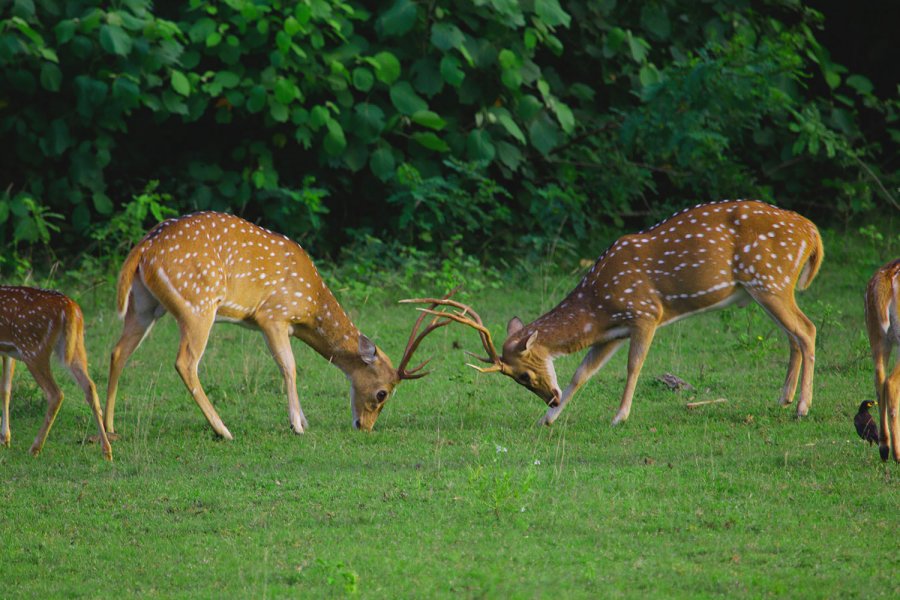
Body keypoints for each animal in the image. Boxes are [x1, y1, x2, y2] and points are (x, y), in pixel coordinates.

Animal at [0, 286, 112, 460]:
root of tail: (70, 307)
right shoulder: (7, 352)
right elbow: (5, 390)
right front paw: (5, 439)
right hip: (76, 346)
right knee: (90, 386)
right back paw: (107, 451)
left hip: (32, 348)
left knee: (55, 394)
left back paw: (35, 448)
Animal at [106, 211, 454, 436]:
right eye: (382, 393)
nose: (364, 427)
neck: (310, 304)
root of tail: (144, 247)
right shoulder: (272, 315)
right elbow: (289, 366)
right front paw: (298, 426)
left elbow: (287, 366)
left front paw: (302, 421)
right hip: (197, 304)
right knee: (185, 362)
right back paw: (223, 429)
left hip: (144, 305)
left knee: (118, 351)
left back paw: (109, 428)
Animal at [406, 199, 824, 424]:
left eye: (523, 374)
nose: (550, 400)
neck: (598, 303)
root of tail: (812, 232)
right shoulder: (610, 333)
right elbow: (581, 373)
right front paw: (548, 420)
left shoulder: (645, 313)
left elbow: (633, 365)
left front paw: (619, 416)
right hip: (765, 288)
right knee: (793, 335)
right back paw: (784, 398)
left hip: (769, 279)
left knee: (807, 329)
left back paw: (803, 407)